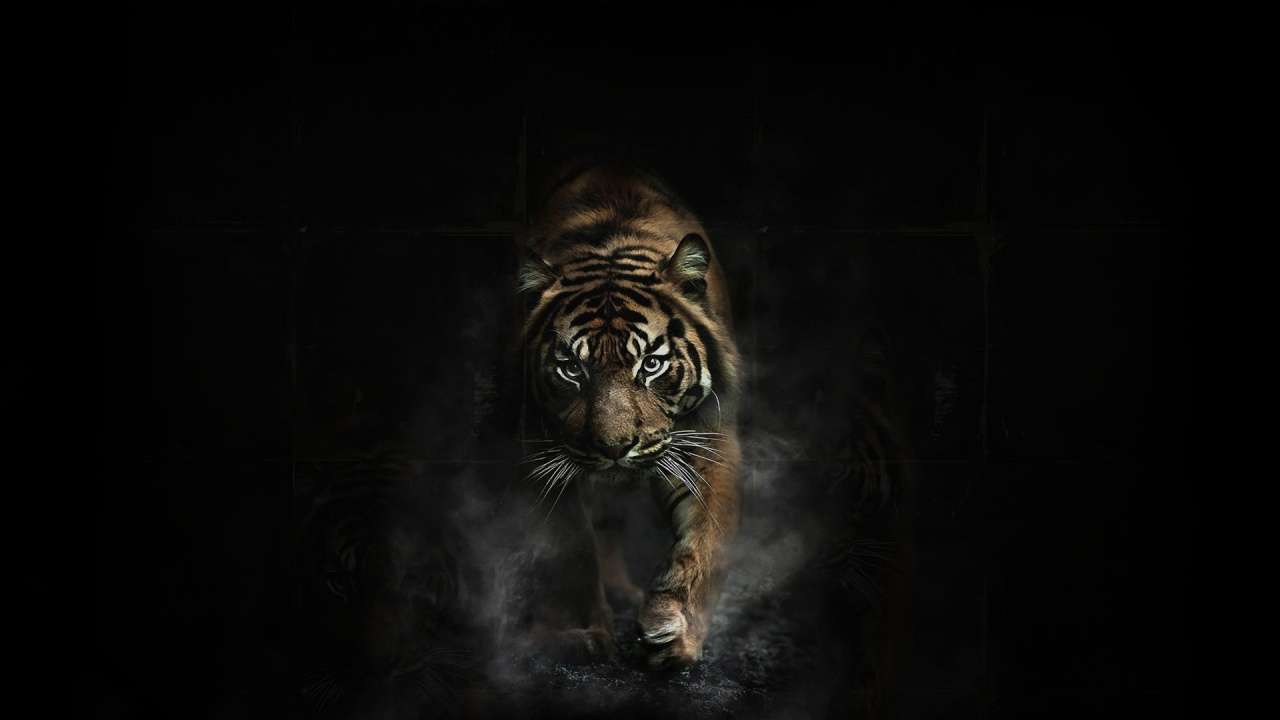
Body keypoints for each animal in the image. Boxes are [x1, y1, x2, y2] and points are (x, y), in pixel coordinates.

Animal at [505, 158, 744, 669]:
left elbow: (705, 543)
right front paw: (581, 633)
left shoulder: (710, 440)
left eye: (650, 364)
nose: (614, 448)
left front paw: (674, 631)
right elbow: (571, 547)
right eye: (571, 369)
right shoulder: (540, 451)